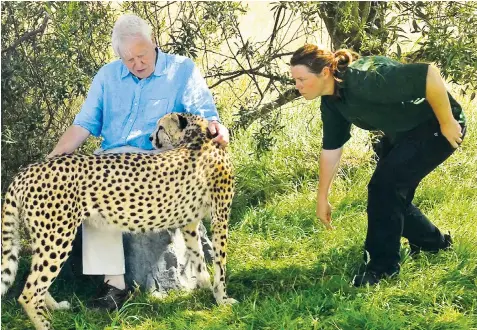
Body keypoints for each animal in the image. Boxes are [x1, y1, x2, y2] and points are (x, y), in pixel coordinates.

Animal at [0, 112, 235, 328]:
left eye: (160, 127)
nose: (150, 138)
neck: (196, 135)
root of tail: (28, 170)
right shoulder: (220, 217)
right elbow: (220, 263)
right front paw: (223, 299)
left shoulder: (190, 222)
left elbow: (198, 257)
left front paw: (206, 286)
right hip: (57, 237)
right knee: (29, 292)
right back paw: (45, 323)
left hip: (45, 237)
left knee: (34, 281)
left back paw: (56, 307)